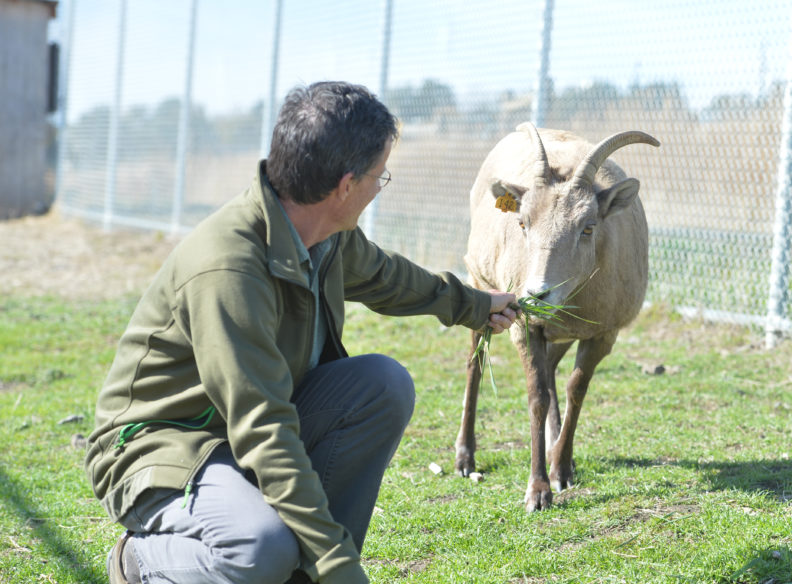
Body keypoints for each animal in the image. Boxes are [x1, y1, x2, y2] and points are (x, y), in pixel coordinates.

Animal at [454, 123, 660, 512]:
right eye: (522, 223)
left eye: (588, 227)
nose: (538, 294)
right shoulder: (526, 327)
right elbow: (537, 397)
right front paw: (537, 492)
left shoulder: (601, 334)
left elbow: (574, 390)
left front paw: (561, 471)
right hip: (480, 284)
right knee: (476, 363)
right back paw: (464, 458)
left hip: (559, 334)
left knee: (550, 369)